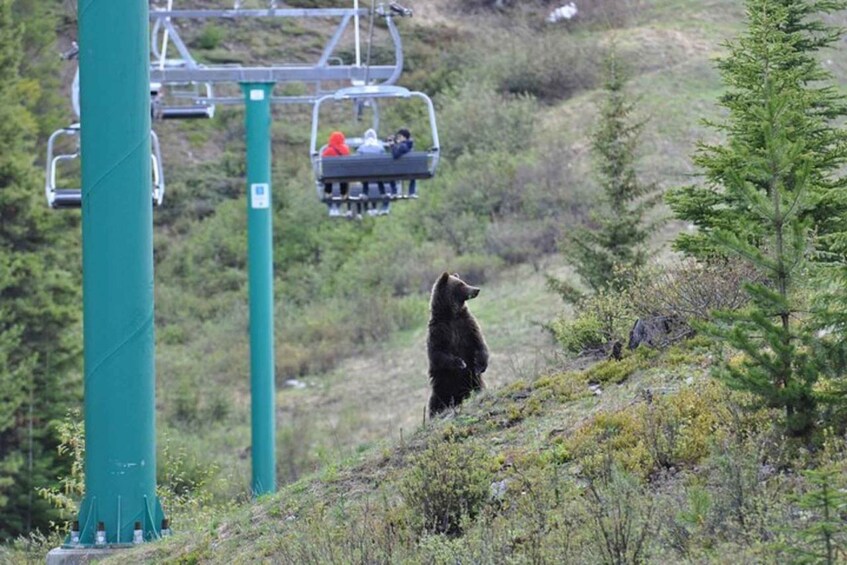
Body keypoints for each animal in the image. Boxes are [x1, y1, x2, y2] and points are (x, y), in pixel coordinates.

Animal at [427, 272, 489, 418]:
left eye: (464, 282)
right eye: (461, 284)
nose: (476, 289)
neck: (452, 315)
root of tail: (459, 397)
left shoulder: (466, 324)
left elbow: (479, 342)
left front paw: (480, 365)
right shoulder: (439, 331)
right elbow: (437, 352)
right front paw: (460, 363)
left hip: (473, 381)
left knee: (479, 387)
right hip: (442, 386)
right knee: (435, 403)